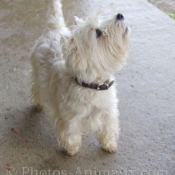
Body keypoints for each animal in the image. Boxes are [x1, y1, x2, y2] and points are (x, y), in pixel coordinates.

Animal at [30, 0, 130, 156]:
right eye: (98, 32)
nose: (120, 15)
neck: (93, 85)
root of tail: (55, 28)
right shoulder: (70, 117)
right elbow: (71, 134)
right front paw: (71, 150)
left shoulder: (108, 111)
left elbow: (108, 129)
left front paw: (109, 145)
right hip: (36, 73)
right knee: (36, 88)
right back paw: (38, 104)